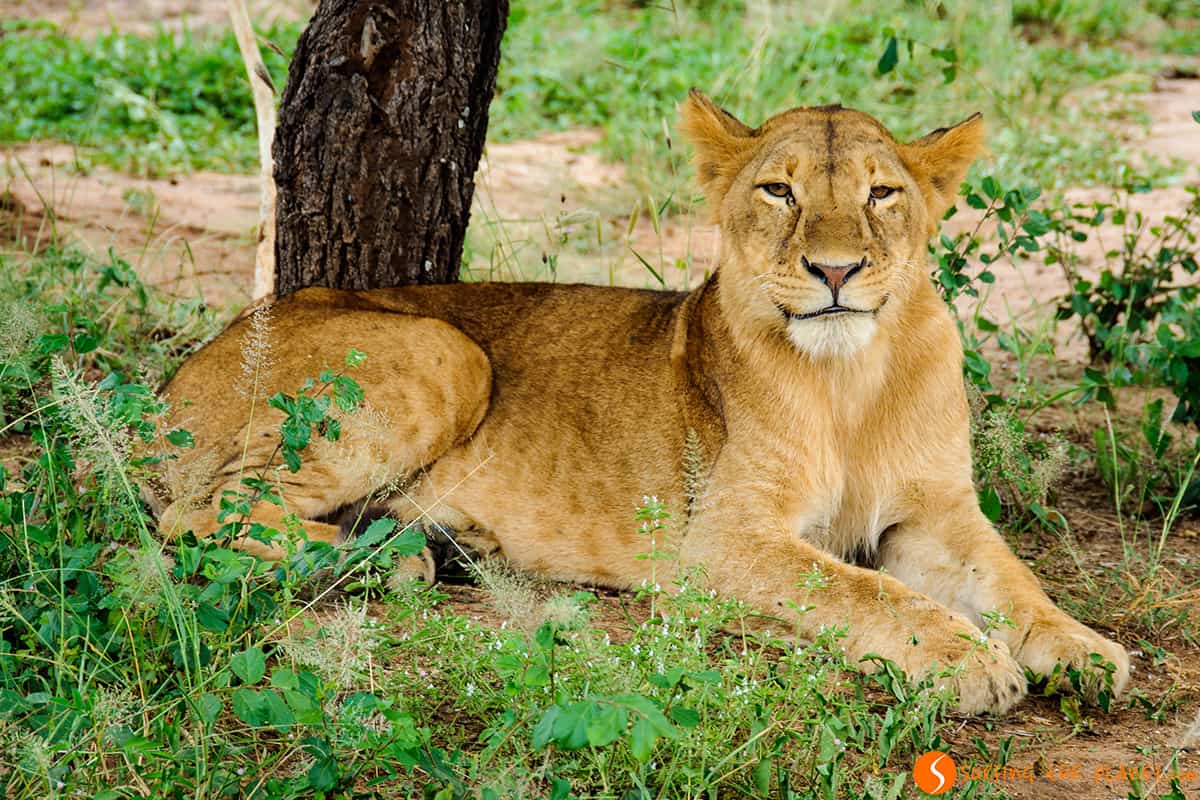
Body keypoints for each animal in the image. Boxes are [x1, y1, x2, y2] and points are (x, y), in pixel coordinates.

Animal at [152, 90, 1129, 714]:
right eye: (779, 189)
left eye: (882, 193)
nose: (836, 270)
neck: (851, 379)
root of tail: (176, 377)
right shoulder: (724, 541)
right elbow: (862, 591)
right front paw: (967, 662)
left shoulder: (935, 514)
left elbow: (1015, 580)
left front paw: (1084, 653)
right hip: (444, 350)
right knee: (197, 516)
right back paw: (393, 560)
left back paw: (427, 542)